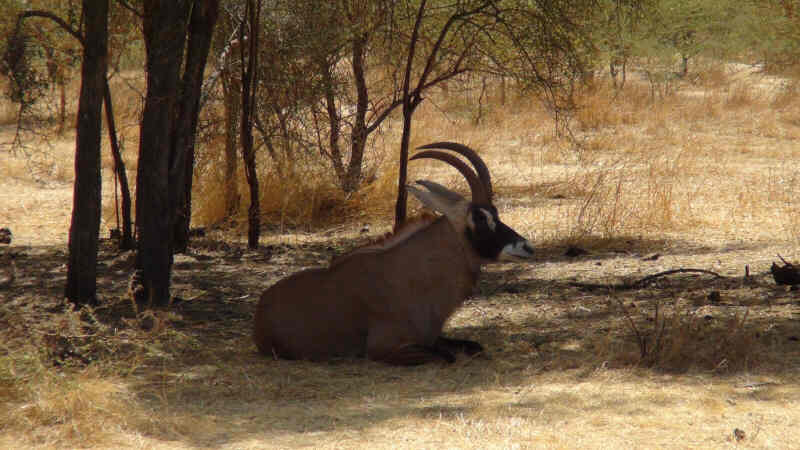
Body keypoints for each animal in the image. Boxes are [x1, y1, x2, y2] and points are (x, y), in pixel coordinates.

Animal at [253, 142, 536, 364]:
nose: (526, 247)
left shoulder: (433, 336)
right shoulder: (383, 349)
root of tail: (261, 308)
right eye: (479, 217)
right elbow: (445, 356)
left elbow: (472, 346)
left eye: (495, 212)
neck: (413, 278)